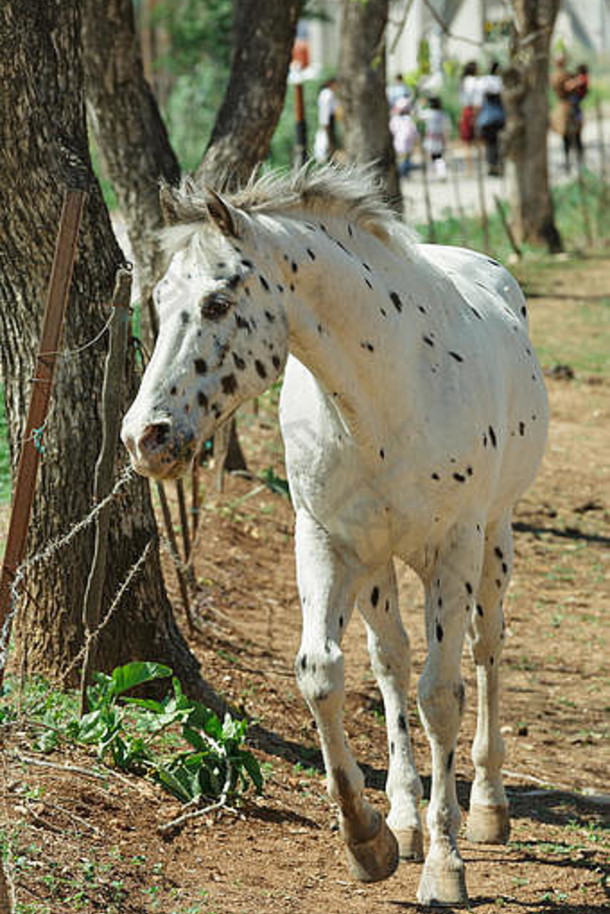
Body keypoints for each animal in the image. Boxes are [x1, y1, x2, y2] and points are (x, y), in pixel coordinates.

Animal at [120, 166, 548, 904]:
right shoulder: (326, 543)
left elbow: (442, 695)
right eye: (159, 298)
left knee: (485, 648)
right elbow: (322, 675)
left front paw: (445, 866)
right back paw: (404, 817)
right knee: (390, 661)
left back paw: (489, 806)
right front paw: (369, 840)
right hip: (377, 565)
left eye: (217, 302)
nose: (145, 437)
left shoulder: (454, 550)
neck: (386, 394)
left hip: (493, 542)